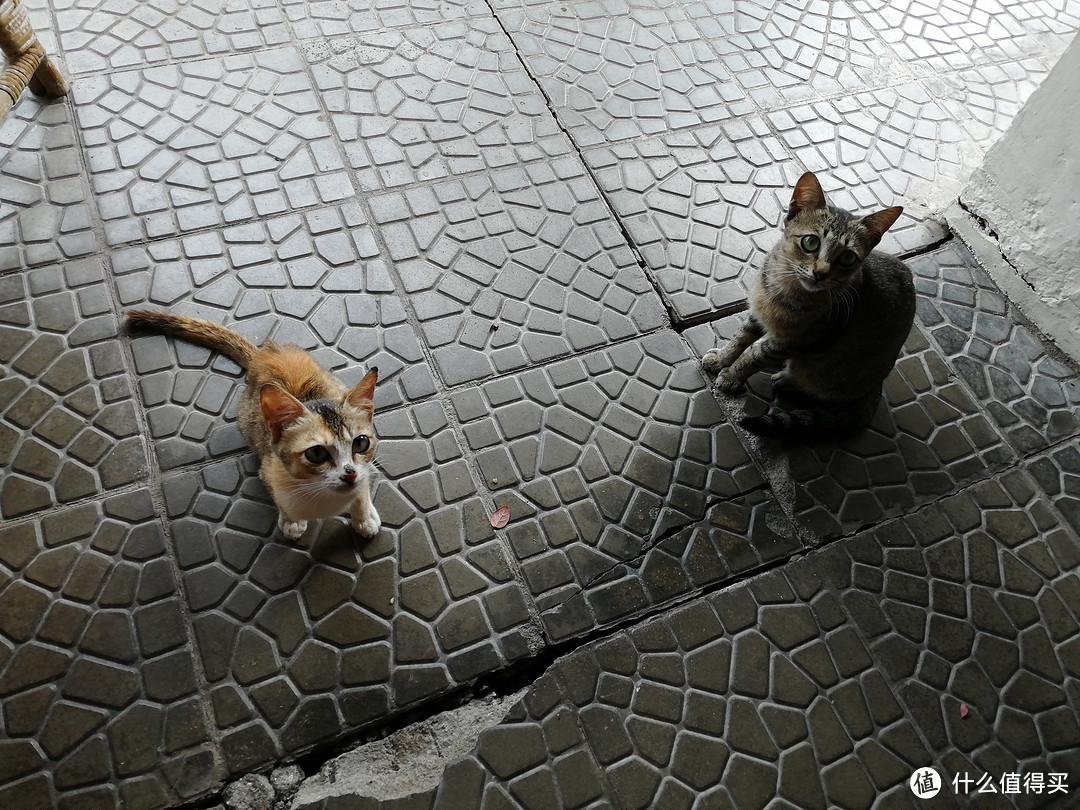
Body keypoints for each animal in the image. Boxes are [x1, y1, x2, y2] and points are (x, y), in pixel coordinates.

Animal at [126, 311, 382, 546]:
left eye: (361, 443)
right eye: (316, 453)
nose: (350, 473)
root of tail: (263, 353)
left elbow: (362, 489)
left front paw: (364, 517)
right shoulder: (269, 471)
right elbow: (280, 499)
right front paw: (291, 521)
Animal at [704, 168, 915, 440]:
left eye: (848, 258)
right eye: (811, 242)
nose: (821, 273)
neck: (783, 287)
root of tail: (876, 384)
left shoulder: (794, 342)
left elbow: (753, 356)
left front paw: (731, 375)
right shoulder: (757, 313)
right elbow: (740, 338)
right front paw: (722, 358)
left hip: (822, 370)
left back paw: (786, 381)